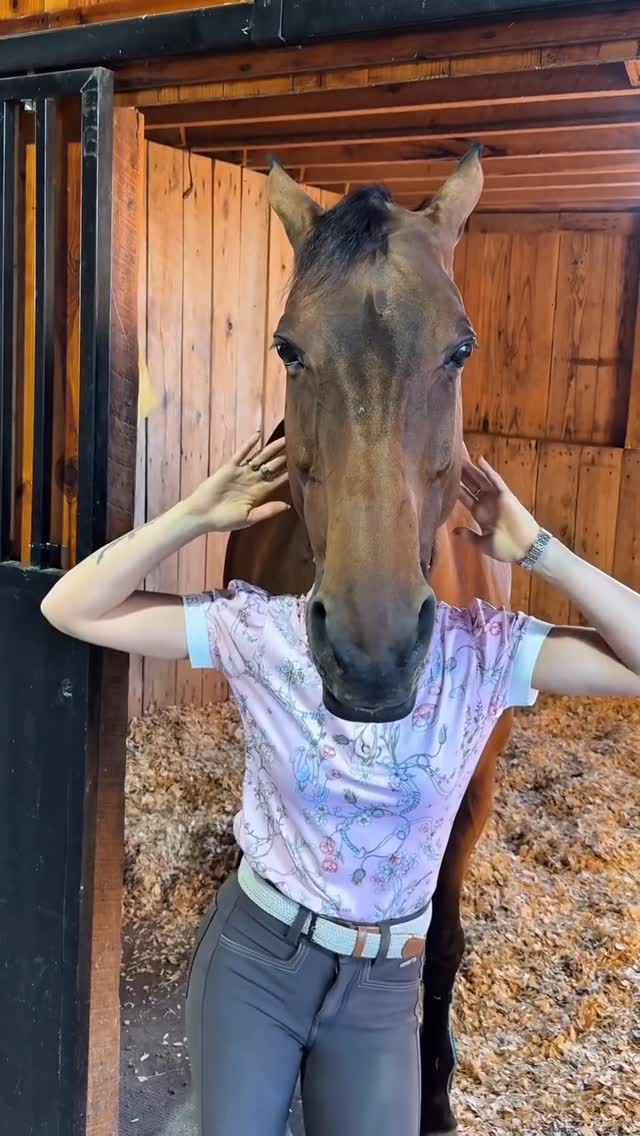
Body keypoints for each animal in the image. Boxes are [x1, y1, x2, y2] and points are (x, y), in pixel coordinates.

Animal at [224, 151, 513, 1135]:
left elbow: (442, 941)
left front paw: (435, 1094)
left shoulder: (475, 794)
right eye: (288, 348)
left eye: (461, 349)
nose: (372, 651)